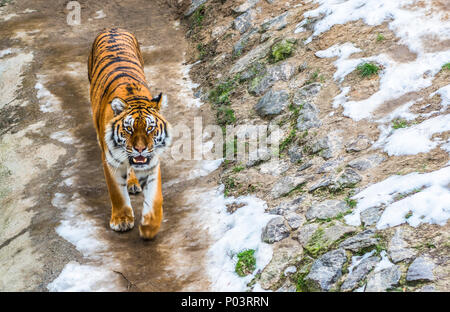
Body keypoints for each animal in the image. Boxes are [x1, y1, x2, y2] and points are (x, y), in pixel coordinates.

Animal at [88, 28, 172, 240]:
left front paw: (149, 226)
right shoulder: (110, 161)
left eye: (150, 128)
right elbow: (117, 193)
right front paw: (121, 220)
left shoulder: (152, 162)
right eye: (129, 128)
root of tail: (112, 28)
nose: (140, 149)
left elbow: (156, 198)